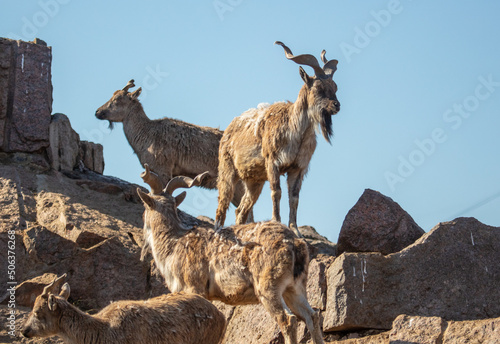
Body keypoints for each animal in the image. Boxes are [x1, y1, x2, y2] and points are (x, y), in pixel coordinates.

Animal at [138, 167, 324, 344]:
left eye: (145, 207)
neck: (173, 245)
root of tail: (295, 244)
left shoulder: (194, 287)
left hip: (268, 287)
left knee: (287, 320)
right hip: (294, 288)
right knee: (312, 316)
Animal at [215, 39, 340, 234]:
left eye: (335, 87)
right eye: (319, 88)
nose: (336, 105)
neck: (296, 132)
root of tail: (228, 130)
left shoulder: (298, 168)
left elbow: (294, 197)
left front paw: (295, 230)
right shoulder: (272, 162)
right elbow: (277, 192)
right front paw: (276, 221)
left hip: (254, 181)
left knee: (241, 208)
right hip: (227, 169)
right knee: (223, 202)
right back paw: (218, 229)